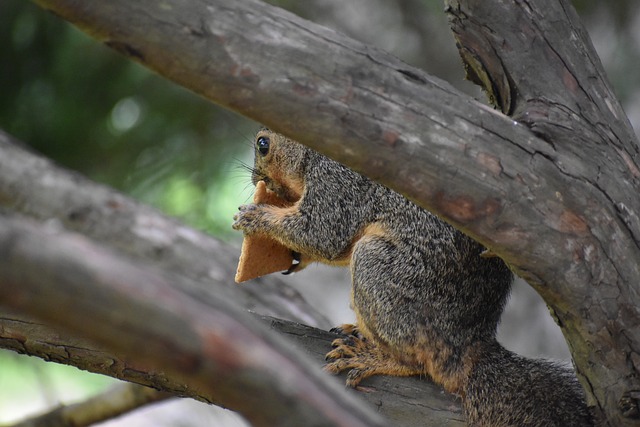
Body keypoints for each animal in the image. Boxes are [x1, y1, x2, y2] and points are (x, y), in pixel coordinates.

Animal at [232, 130, 592, 427]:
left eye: (263, 144)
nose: (256, 179)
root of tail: (469, 347)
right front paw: (294, 256)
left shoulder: (339, 180)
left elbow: (323, 232)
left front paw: (256, 217)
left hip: (382, 271)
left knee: (416, 361)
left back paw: (373, 356)